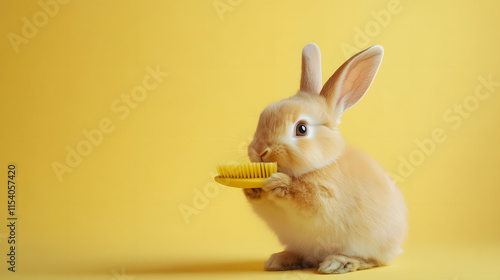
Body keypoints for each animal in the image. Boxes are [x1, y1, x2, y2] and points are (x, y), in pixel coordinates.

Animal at [244, 43, 408, 274]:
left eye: (302, 129)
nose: (259, 151)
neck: (322, 163)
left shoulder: (324, 197)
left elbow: (302, 196)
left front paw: (278, 183)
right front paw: (252, 188)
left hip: (370, 242)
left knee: (373, 260)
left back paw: (337, 263)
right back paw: (281, 260)